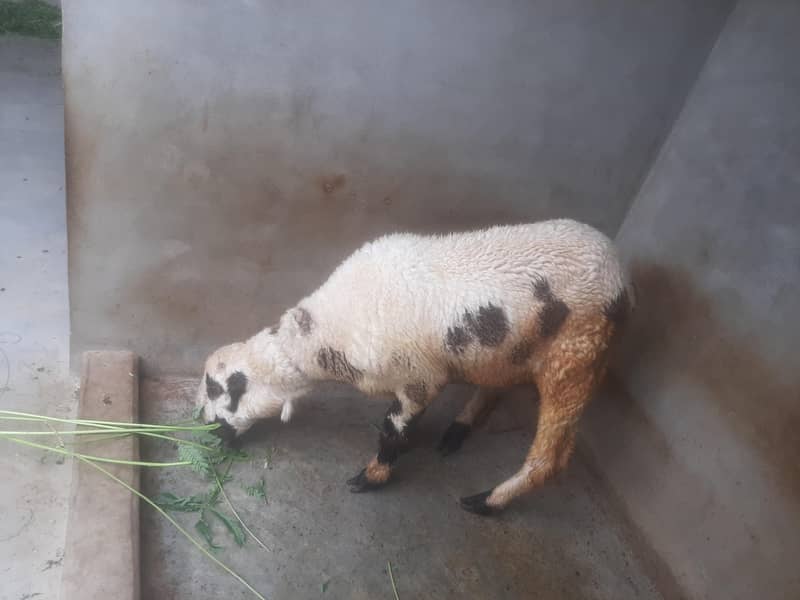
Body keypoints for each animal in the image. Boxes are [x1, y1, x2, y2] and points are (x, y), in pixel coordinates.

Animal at [197, 219, 632, 515]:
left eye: (218, 390)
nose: (206, 430)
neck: (322, 338)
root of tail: (619, 269)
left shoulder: (420, 377)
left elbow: (392, 428)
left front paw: (372, 477)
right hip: (511, 349)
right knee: (495, 388)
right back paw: (456, 433)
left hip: (578, 354)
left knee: (550, 457)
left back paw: (486, 502)